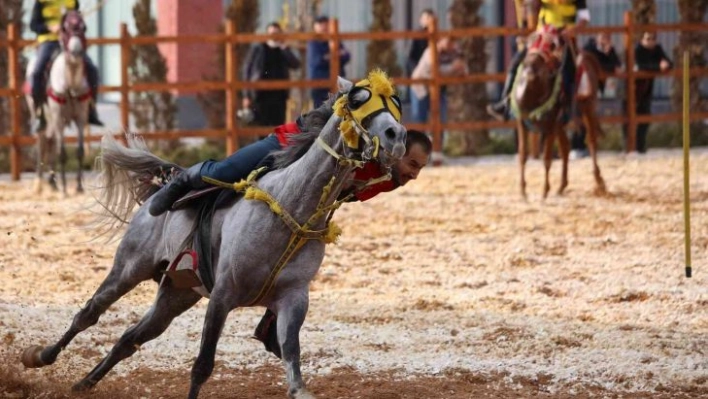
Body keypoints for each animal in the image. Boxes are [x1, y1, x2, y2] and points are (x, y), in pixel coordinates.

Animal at [19, 70, 406, 398]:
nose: (397, 136)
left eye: (395, 104)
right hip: (129, 267)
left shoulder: (293, 299)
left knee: (130, 339)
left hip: (176, 293)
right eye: (358, 99)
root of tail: (160, 182)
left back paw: (84, 383)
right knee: (89, 313)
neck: (292, 206)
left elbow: (293, 365)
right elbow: (202, 366)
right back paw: (40, 357)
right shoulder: (222, 295)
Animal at [25, 10, 91, 195]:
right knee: (42, 143)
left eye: (84, 27)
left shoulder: (81, 118)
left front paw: (79, 187)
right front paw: (65, 189)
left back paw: (52, 183)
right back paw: (39, 183)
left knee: (50, 142)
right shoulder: (59, 118)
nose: (76, 51)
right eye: (64, 28)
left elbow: (79, 151)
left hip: (52, 121)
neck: (70, 84)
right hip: (42, 115)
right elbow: (62, 152)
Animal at [512, 26, 604, 198]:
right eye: (530, 43)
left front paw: (544, 191)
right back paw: (562, 186)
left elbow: (547, 158)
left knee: (591, 141)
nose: (530, 66)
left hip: (588, 108)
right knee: (566, 148)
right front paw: (522, 190)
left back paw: (599, 182)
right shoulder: (522, 122)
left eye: (552, 46)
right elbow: (522, 155)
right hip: (561, 123)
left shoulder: (551, 124)